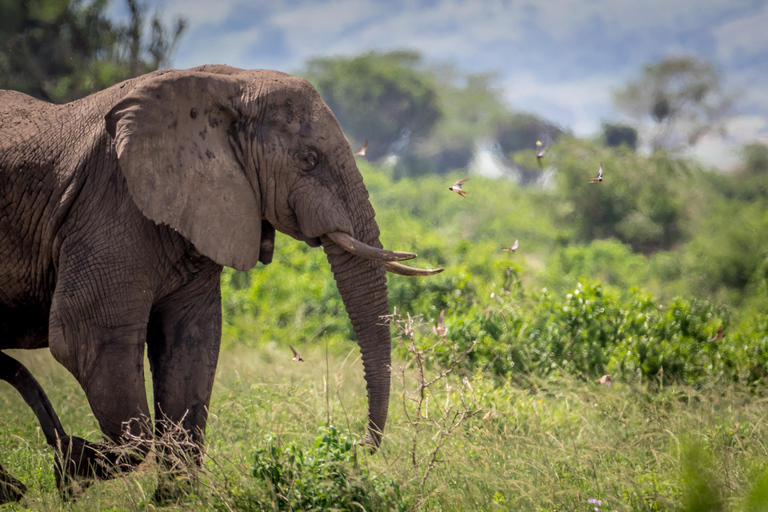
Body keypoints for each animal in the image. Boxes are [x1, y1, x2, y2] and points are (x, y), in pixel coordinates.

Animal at [0, 65, 440, 504]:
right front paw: (72, 467)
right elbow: (85, 337)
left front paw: (175, 501)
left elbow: (192, 343)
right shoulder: (109, 203)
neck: (228, 82)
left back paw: (12, 489)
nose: (359, 447)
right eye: (308, 160)